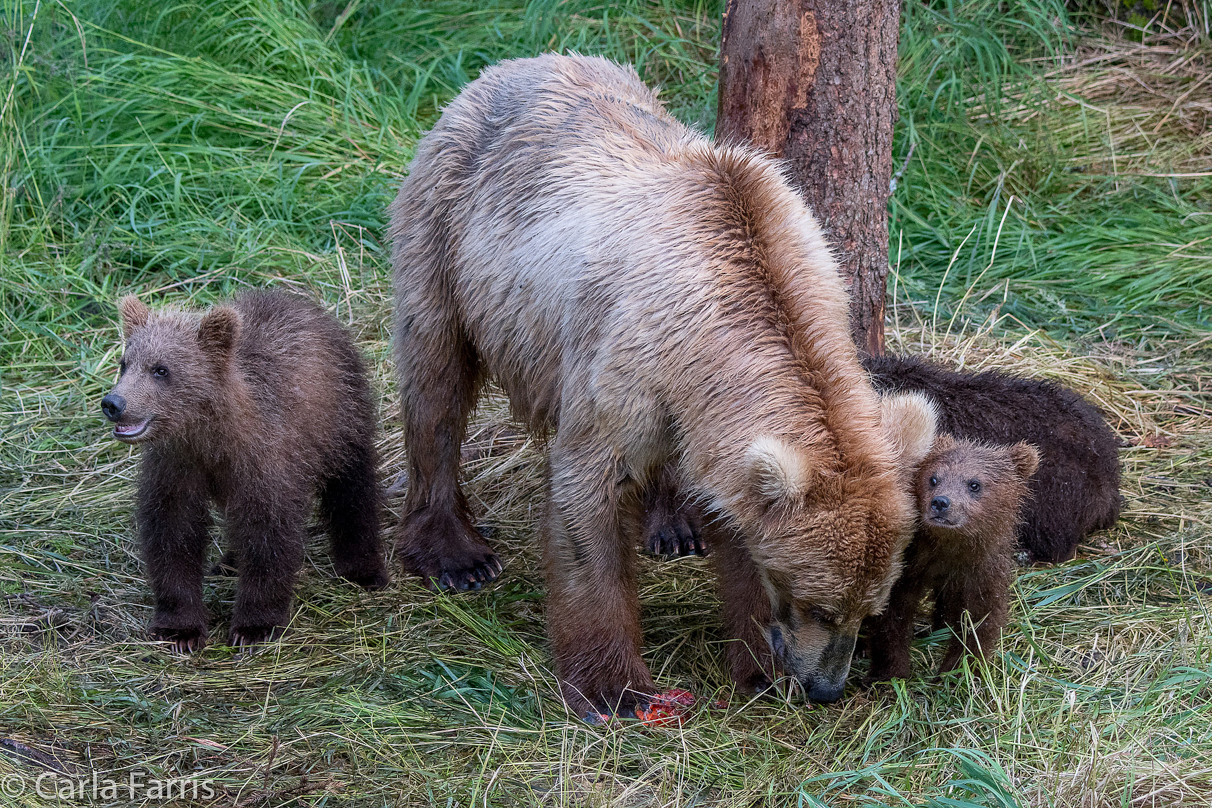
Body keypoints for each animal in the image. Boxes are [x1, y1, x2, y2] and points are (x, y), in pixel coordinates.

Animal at [390, 53, 935, 717]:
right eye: (819, 606)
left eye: (869, 608)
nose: (826, 687)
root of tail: (517, 64)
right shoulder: (624, 359)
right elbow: (587, 496)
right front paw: (615, 687)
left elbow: (735, 517)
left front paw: (758, 664)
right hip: (447, 236)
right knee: (436, 380)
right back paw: (456, 554)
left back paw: (674, 526)